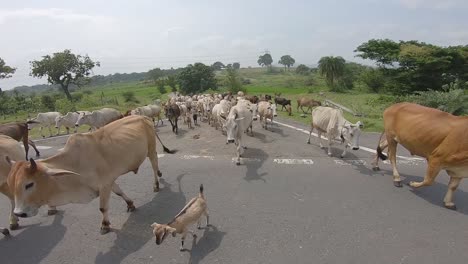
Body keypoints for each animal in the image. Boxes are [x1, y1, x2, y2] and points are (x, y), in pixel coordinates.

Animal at [6, 115, 176, 233]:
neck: (75, 166)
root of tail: (144, 116)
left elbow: (102, 208)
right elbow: (120, 192)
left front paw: (105, 225)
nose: (19, 213)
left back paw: (156, 184)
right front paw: (130, 204)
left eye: (29, 184)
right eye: (11, 184)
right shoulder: (108, 181)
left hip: (151, 149)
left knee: (154, 164)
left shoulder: (104, 184)